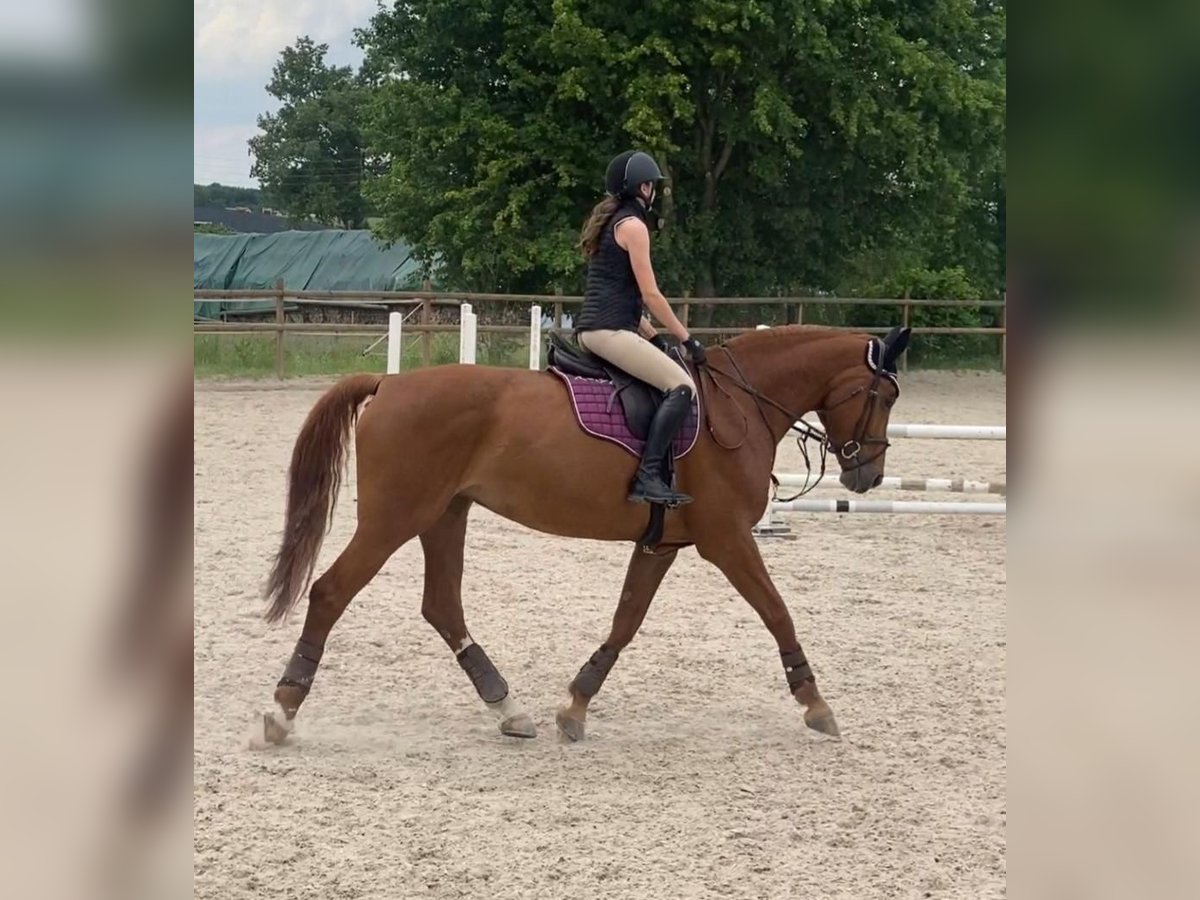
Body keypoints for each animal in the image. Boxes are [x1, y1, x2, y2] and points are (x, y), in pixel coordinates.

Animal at [260, 324, 907, 748]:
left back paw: (508, 709)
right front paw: (816, 704)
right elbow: (777, 612)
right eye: (885, 394)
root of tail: (389, 385)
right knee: (331, 592)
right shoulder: (727, 541)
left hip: (445, 515)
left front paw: (575, 705)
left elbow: (626, 621)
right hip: (397, 518)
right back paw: (283, 711)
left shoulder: (661, 544)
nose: (868, 474)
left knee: (442, 606)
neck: (736, 407)